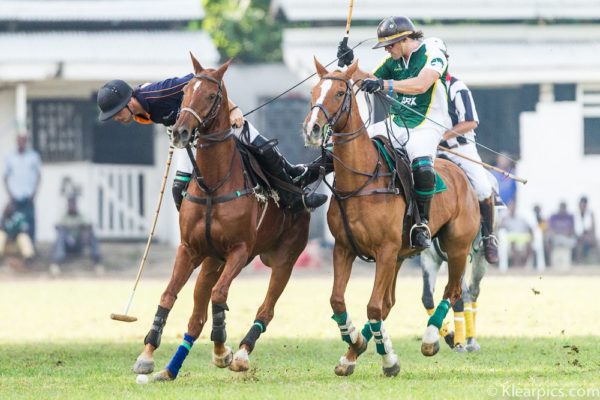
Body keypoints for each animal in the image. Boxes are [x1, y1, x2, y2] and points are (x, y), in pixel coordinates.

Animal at [131, 54, 310, 382]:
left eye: (212, 95)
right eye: (185, 91)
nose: (180, 131)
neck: (213, 184)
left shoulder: (239, 249)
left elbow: (220, 295)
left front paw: (222, 346)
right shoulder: (189, 248)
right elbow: (169, 295)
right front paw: (146, 355)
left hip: (284, 258)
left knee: (265, 308)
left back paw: (239, 353)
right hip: (211, 261)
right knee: (196, 316)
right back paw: (173, 367)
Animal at [302, 57, 480, 376]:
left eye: (339, 93)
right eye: (313, 91)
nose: (312, 129)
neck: (361, 179)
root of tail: (460, 172)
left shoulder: (385, 250)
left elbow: (373, 306)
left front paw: (387, 358)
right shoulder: (344, 248)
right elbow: (338, 301)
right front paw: (353, 346)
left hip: (456, 246)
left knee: (453, 290)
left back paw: (432, 338)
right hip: (400, 256)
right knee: (389, 302)